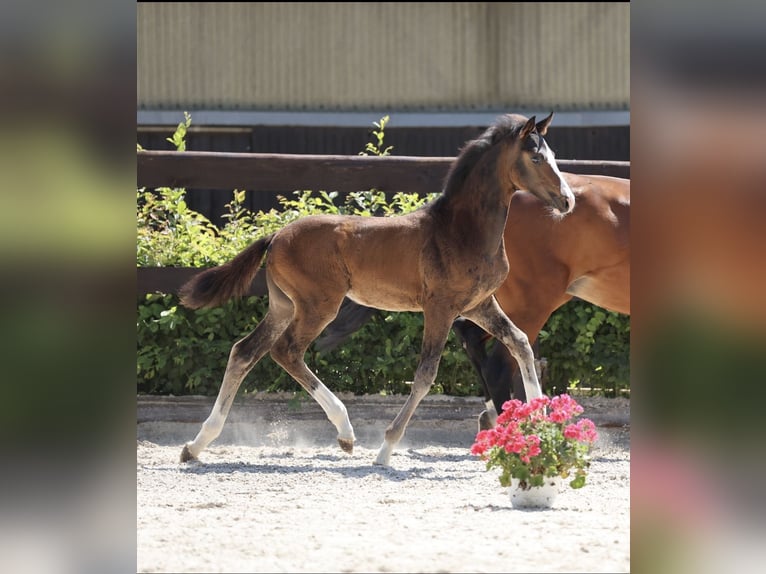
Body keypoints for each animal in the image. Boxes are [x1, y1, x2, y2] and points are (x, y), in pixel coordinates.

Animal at [176, 112, 575, 467]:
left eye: (553, 155)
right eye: (536, 157)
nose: (568, 201)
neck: (462, 230)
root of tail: (275, 236)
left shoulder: (479, 305)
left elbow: (520, 343)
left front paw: (539, 425)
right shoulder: (441, 308)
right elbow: (425, 375)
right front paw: (385, 450)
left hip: (284, 305)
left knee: (244, 352)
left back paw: (197, 444)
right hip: (318, 305)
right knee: (286, 351)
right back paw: (345, 433)